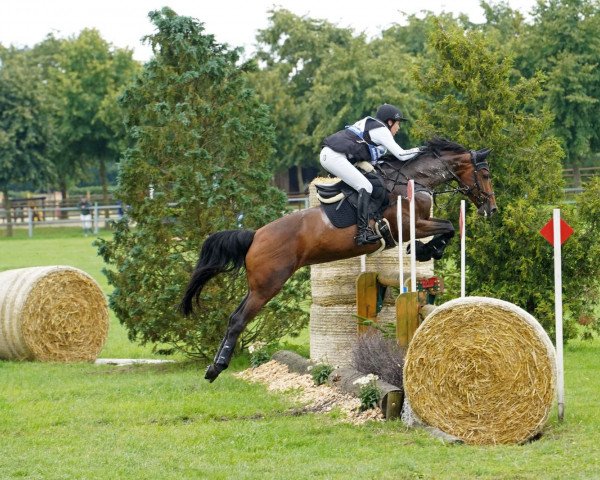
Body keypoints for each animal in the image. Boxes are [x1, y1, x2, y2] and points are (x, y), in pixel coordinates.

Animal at [179, 137, 496, 380]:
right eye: (486, 175)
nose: (491, 209)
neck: (413, 179)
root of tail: (255, 235)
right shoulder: (411, 224)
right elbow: (449, 226)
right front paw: (429, 249)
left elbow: (448, 227)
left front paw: (428, 250)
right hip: (267, 285)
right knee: (238, 320)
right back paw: (215, 369)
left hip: (258, 285)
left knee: (235, 316)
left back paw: (215, 365)